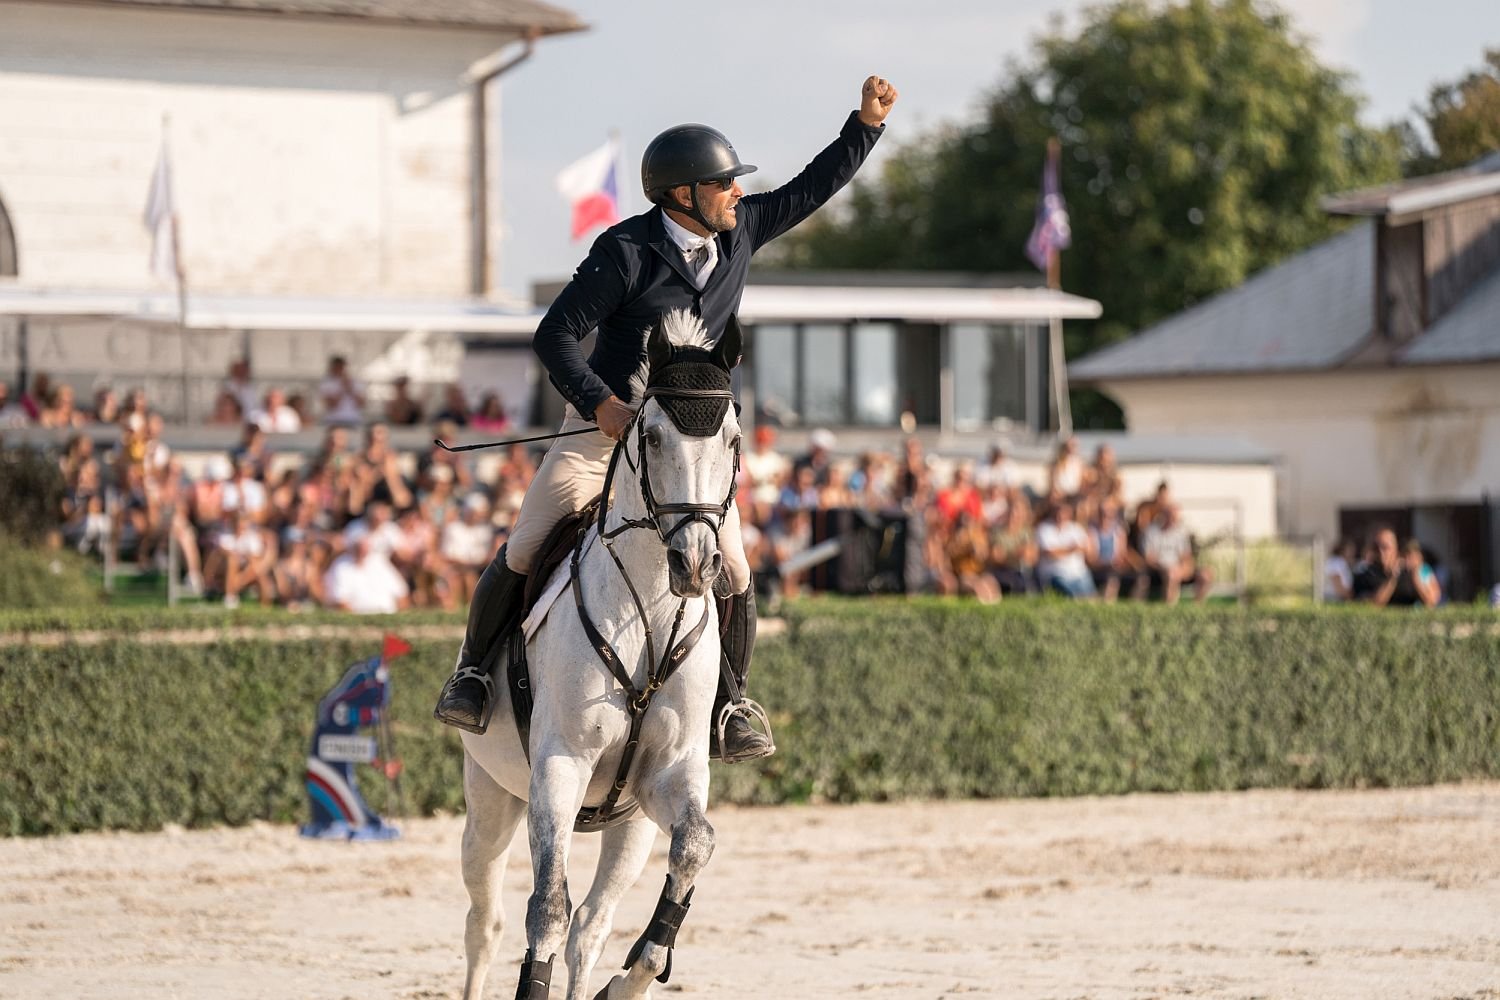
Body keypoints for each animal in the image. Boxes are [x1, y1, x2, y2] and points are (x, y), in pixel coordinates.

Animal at [453, 310, 741, 1000]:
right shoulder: (560, 766)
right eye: (653, 437)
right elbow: (546, 910)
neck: (649, 617)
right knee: (486, 917)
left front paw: (637, 974)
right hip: (492, 795)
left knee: (593, 923)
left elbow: (694, 846)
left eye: (733, 438)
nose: (696, 565)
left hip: (629, 822)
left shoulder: (672, 775)